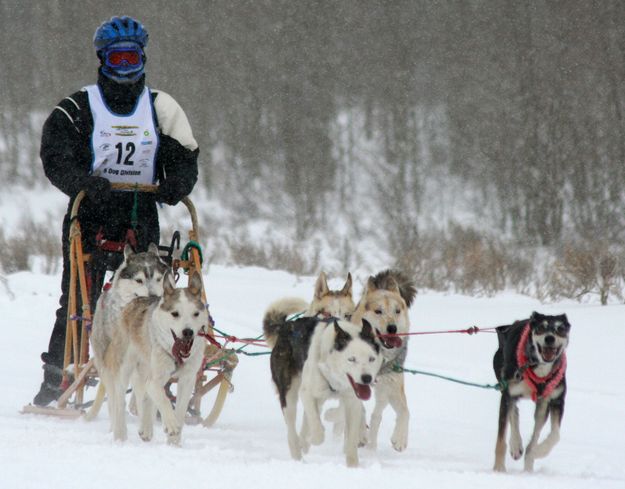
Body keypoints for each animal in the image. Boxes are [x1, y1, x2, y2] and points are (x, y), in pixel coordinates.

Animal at [492, 310, 572, 470]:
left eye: (560, 329)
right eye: (541, 328)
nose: (549, 338)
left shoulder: (555, 400)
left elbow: (554, 435)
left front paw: (536, 452)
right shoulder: (508, 393)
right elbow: (501, 439)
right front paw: (498, 468)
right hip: (506, 388)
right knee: (513, 412)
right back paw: (516, 445)